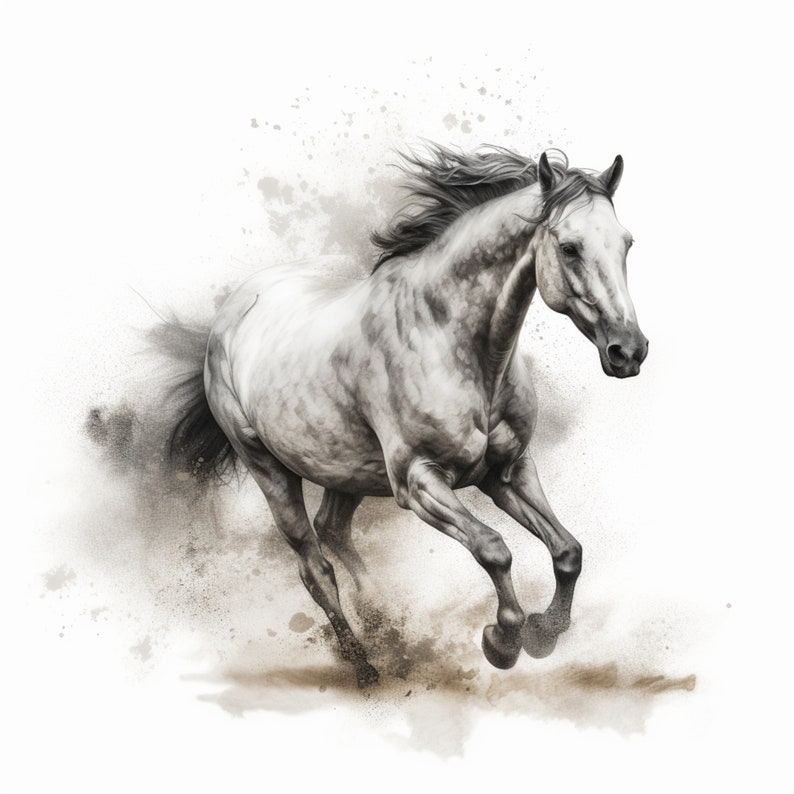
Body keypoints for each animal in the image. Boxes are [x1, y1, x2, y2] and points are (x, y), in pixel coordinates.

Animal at [167, 144, 648, 687]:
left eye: (626, 243)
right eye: (569, 248)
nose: (629, 351)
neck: (448, 339)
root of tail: (229, 315)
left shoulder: (507, 470)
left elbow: (568, 552)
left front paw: (544, 633)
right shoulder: (419, 483)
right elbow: (494, 548)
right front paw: (502, 641)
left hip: (346, 470)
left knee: (333, 528)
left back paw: (382, 619)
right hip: (269, 469)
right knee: (315, 567)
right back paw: (364, 667)